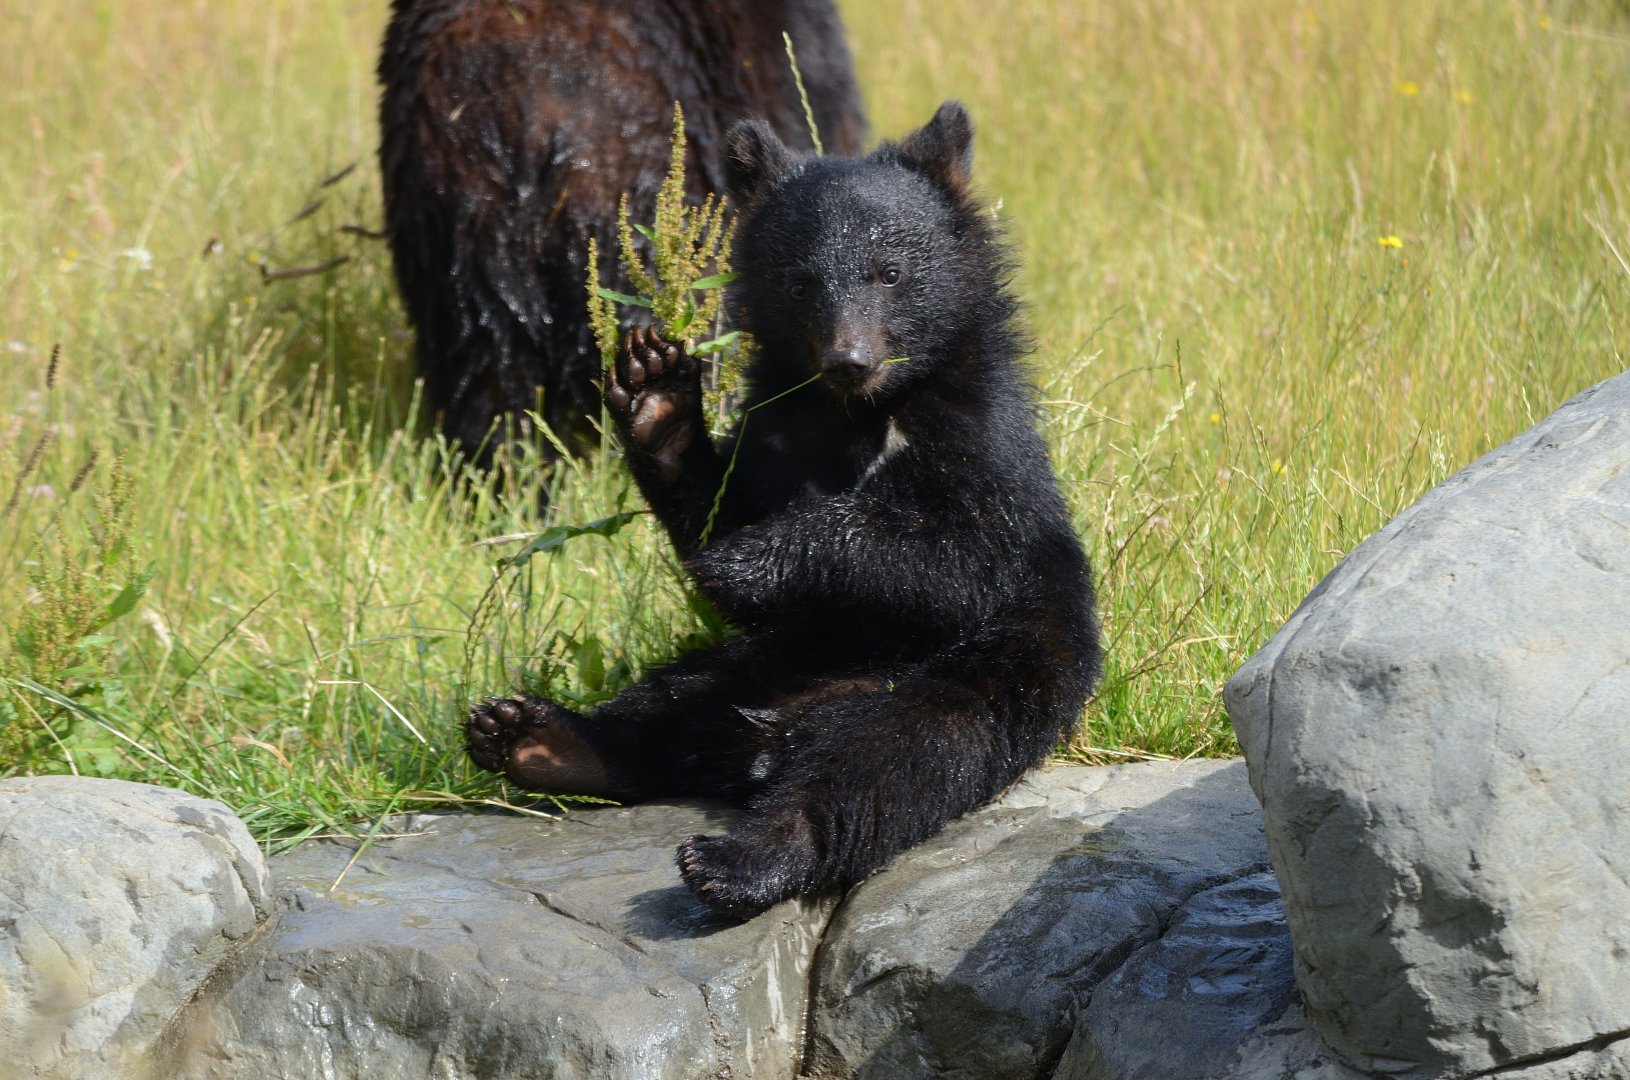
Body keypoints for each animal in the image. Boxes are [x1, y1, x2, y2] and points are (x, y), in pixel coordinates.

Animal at [465, 101, 1103, 919]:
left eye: (889, 272)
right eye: (801, 284)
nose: (850, 359)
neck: (861, 415)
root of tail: (767, 742)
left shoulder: (983, 450)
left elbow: (960, 560)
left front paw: (749, 561)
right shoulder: (775, 439)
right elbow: (723, 504)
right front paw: (655, 395)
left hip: (989, 677)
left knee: (889, 765)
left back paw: (742, 857)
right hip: (759, 661)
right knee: (666, 705)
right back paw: (535, 738)